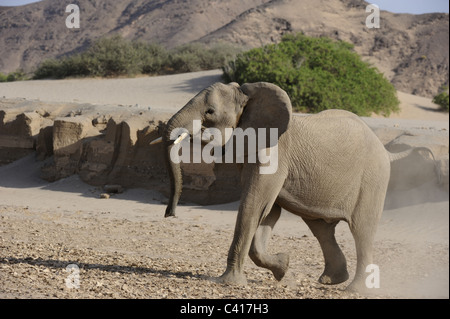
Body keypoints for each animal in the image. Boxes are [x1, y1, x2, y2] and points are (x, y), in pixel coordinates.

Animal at [153, 82, 424, 292]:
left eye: (210, 111)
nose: (170, 214)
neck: (248, 96)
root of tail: (386, 151)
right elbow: (268, 212)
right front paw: (283, 267)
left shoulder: (274, 154)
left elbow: (254, 205)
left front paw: (229, 283)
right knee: (321, 229)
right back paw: (332, 280)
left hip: (373, 179)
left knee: (362, 231)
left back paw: (355, 289)